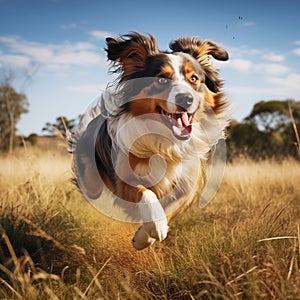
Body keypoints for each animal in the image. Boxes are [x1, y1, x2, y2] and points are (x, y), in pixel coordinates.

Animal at [68, 31, 230, 250]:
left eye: (194, 78)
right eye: (161, 80)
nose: (186, 99)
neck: (166, 141)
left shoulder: (188, 184)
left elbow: (172, 206)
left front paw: (145, 236)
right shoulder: (124, 179)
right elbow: (147, 194)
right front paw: (154, 227)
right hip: (92, 181)